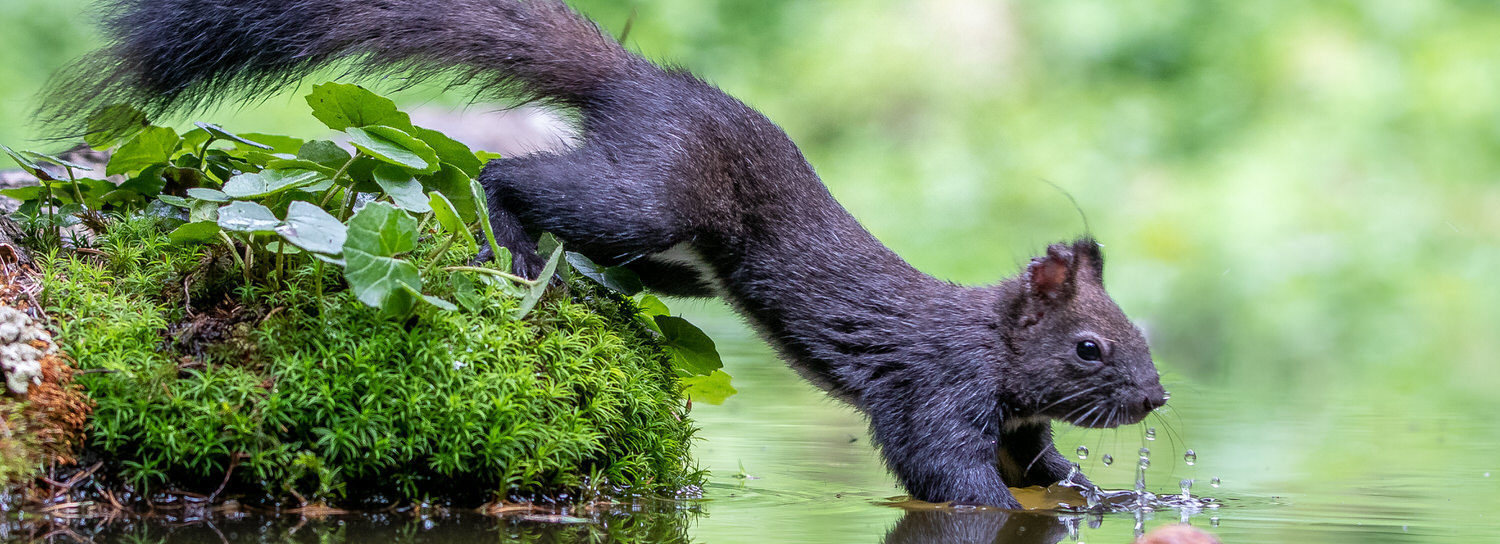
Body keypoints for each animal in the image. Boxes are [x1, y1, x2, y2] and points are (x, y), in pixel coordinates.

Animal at [41, 1, 1170, 512]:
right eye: (1090, 347)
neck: (989, 347)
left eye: (1140, 335)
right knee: (512, 173)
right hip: (650, 193)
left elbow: (1041, 464)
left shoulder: (1014, 420)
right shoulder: (932, 387)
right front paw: (1016, 502)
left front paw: (1092, 492)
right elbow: (944, 471)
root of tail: (637, 80)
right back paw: (506, 238)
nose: (1157, 398)